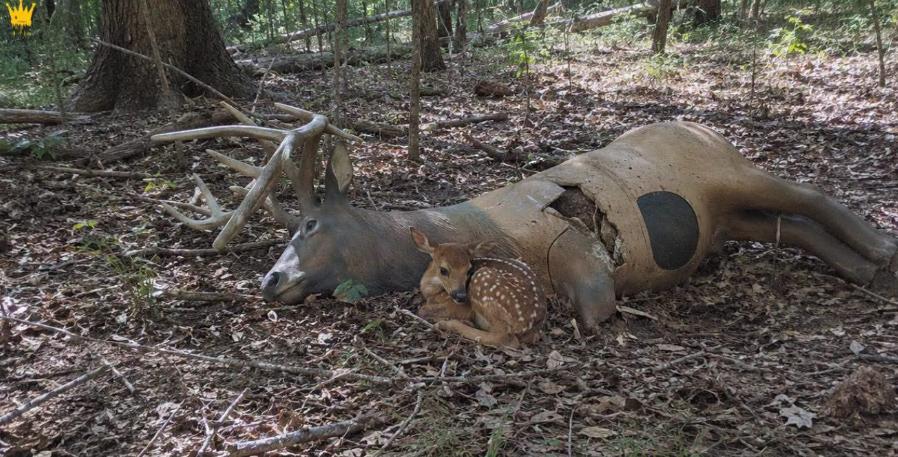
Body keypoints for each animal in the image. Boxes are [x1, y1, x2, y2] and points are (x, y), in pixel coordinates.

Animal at [150, 102, 898, 334]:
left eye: (308, 225)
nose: (269, 280)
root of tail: (699, 122)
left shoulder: (580, 253)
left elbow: (591, 308)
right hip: (720, 218)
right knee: (784, 225)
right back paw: (865, 271)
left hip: (723, 164)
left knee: (804, 193)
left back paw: (883, 250)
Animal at [409, 227, 546, 348]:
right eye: (443, 270)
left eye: (469, 270)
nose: (461, 296)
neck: (431, 292)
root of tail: (531, 324)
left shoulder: (462, 308)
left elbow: (422, 310)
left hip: (483, 283)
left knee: (506, 339)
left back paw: (448, 324)